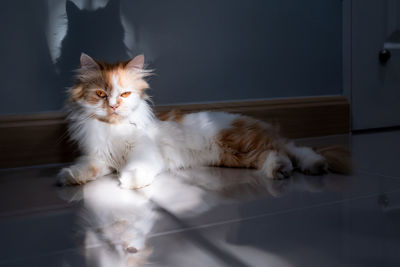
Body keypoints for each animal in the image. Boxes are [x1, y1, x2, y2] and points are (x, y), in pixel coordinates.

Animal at [57, 53, 350, 189]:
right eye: (101, 94)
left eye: (125, 94)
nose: (114, 105)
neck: (113, 131)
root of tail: (259, 125)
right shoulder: (100, 157)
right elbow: (86, 168)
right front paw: (68, 177)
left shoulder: (144, 153)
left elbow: (136, 168)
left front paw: (131, 180)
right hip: (240, 156)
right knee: (286, 153)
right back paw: (297, 168)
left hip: (244, 144)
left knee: (290, 151)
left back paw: (301, 167)